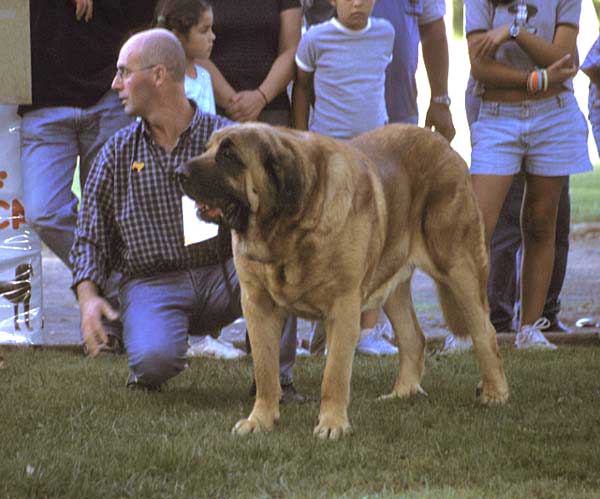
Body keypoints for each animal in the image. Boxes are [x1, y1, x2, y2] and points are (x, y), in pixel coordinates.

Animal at [176, 123, 508, 440]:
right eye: (207, 149)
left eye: (228, 155)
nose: (179, 172)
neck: (287, 228)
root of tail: (444, 145)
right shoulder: (257, 305)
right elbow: (266, 370)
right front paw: (259, 421)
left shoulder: (343, 306)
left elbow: (333, 374)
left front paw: (332, 425)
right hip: (392, 281)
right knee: (414, 337)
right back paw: (402, 393)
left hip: (458, 267)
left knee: (484, 332)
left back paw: (495, 393)